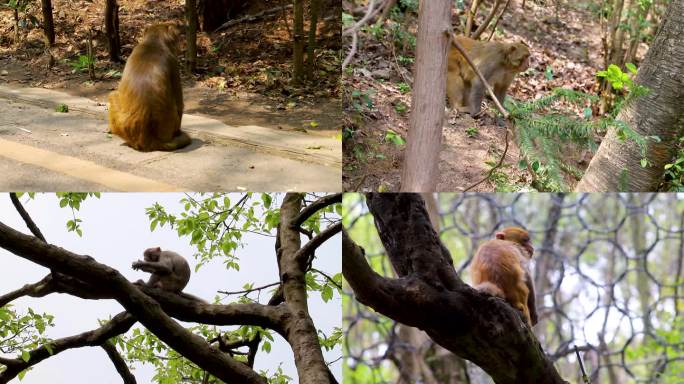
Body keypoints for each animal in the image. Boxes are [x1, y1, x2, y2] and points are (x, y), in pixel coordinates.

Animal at [108, 22, 191, 153]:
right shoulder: (173, 62)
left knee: (113, 95)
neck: (153, 43)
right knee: (113, 95)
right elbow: (179, 105)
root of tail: (149, 140)